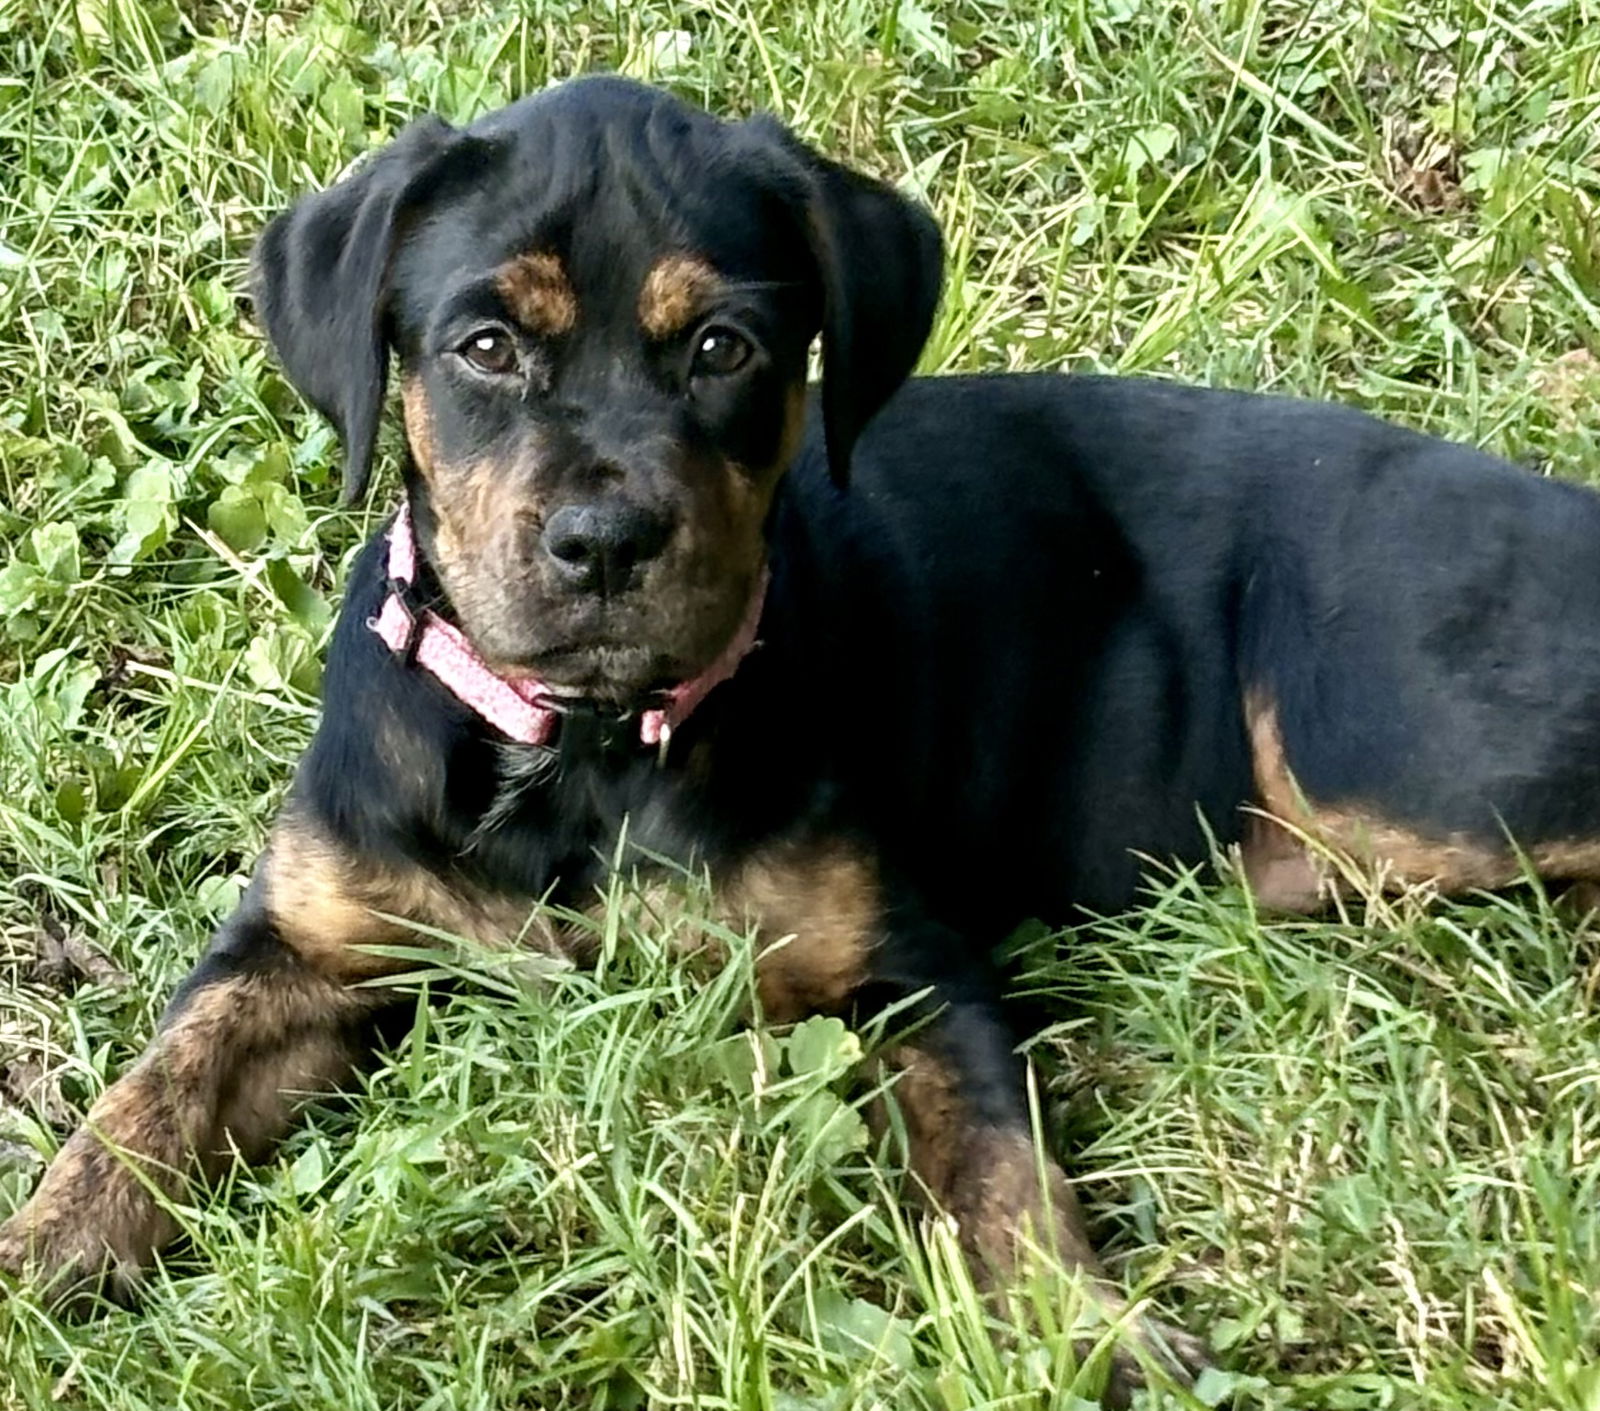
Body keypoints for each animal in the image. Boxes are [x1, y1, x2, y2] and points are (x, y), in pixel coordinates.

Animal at [3, 74, 1600, 1388]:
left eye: (725, 346)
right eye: (484, 345)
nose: (604, 542)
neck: (582, 751)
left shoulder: (903, 961)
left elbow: (998, 1165)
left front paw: (1083, 1336)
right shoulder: (308, 943)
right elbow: (141, 1106)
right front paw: (31, 1261)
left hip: (1405, 760)